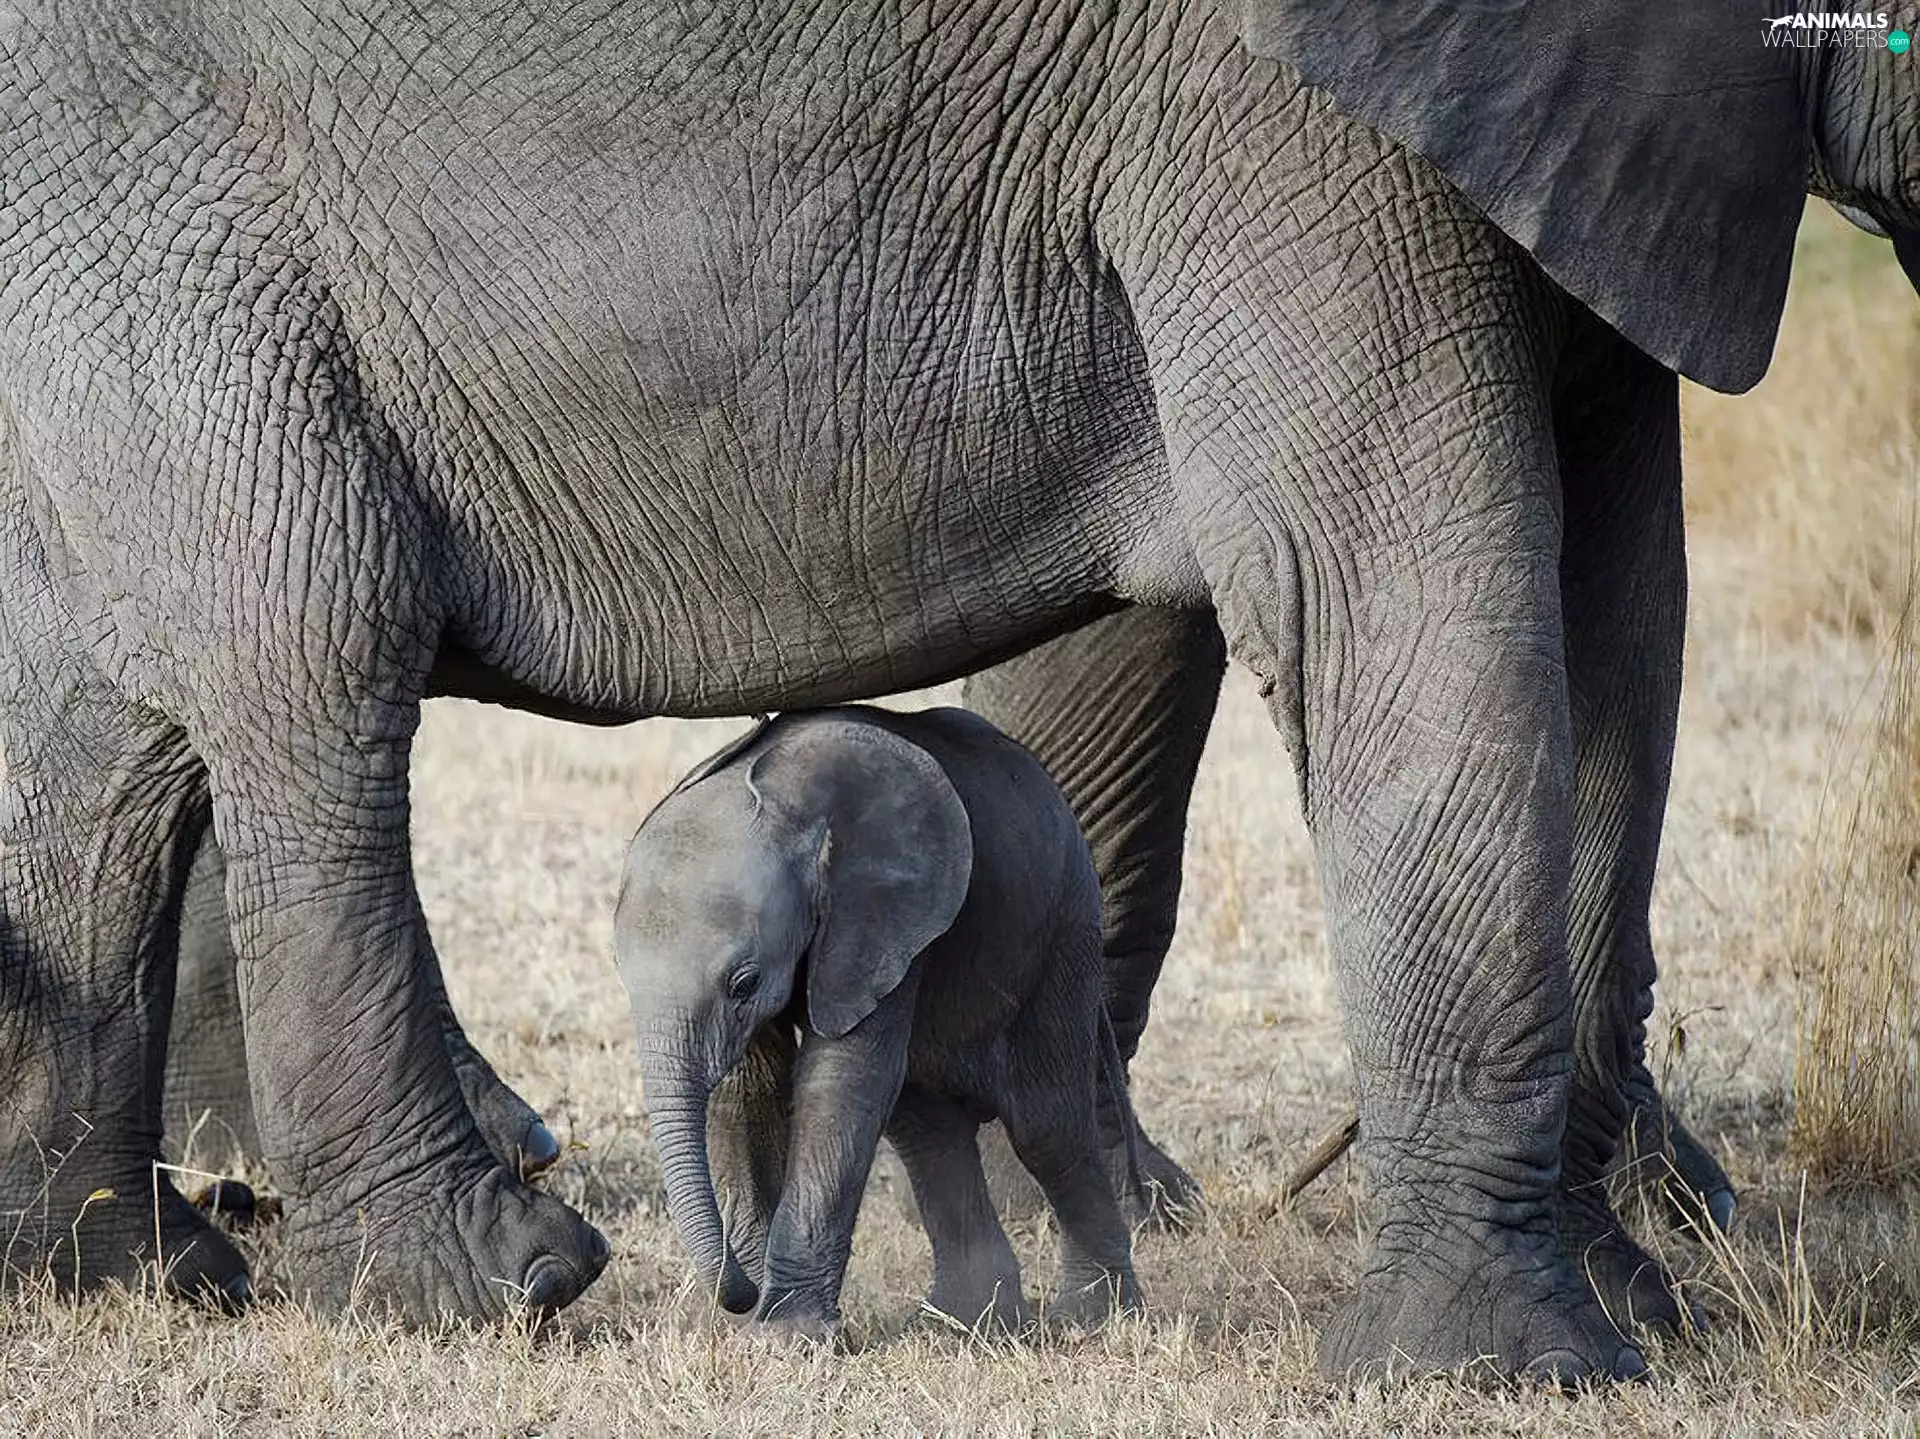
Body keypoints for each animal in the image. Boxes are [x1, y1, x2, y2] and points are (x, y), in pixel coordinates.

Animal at [616, 706, 1143, 1337]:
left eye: (744, 983)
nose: (740, 1296)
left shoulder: (885, 920)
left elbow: (841, 1080)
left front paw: (784, 1337)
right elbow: (750, 1088)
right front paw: (762, 1325)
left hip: (1063, 929)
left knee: (1047, 1126)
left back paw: (1094, 1318)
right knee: (928, 1125)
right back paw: (964, 1323)